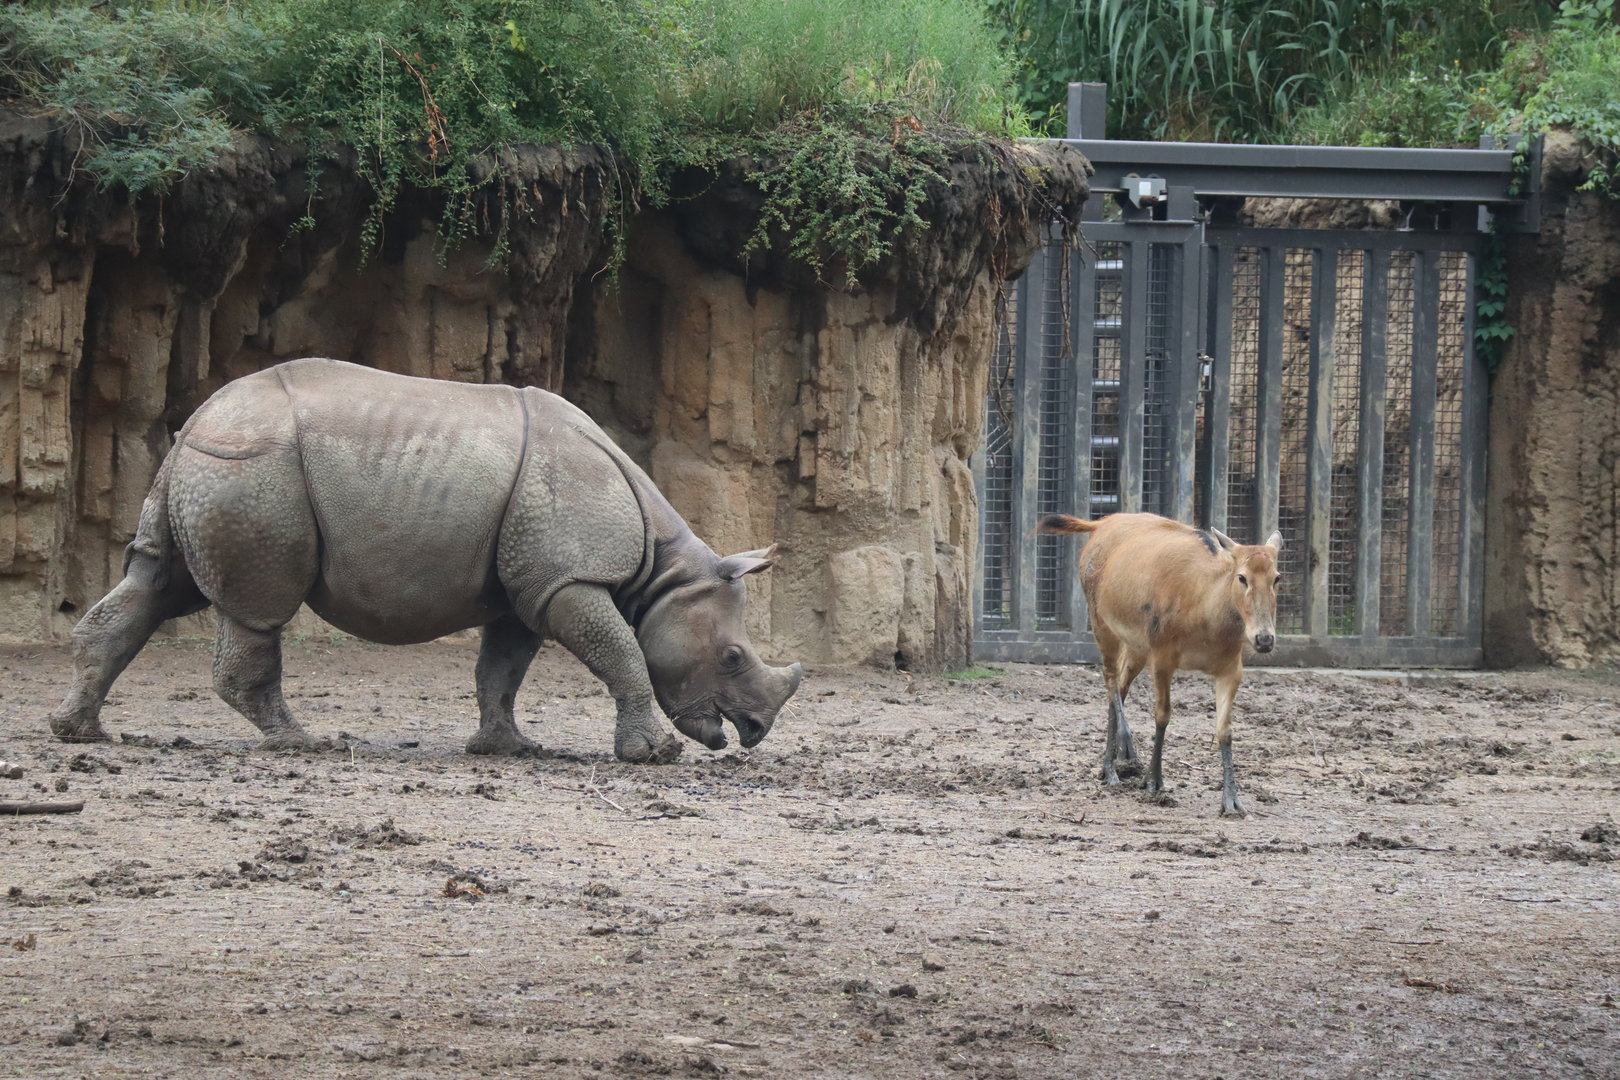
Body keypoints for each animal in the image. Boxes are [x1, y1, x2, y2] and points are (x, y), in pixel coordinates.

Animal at [49, 358, 803, 762]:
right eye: (732, 657)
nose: (755, 732)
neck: (661, 574)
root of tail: (198, 421)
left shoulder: (529, 587)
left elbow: (502, 669)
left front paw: (508, 749)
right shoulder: (568, 580)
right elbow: (621, 652)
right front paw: (653, 755)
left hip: (210, 470)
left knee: (155, 584)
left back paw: (80, 733)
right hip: (256, 471)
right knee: (259, 611)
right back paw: (306, 745)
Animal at [1036, 512, 1282, 817]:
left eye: (1276, 577)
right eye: (1242, 577)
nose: (1264, 639)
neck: (1204, 616)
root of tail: (1099, 523)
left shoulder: (1231, 668)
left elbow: (1225, 731)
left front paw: (1232, 801)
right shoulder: (1163, 656)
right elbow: (1162, 715)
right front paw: (1153, 781)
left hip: (1137, 646)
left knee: (1119, 687)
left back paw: (1108, 767)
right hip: (1101, 622)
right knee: (1109, 679)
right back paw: (1120, 760)